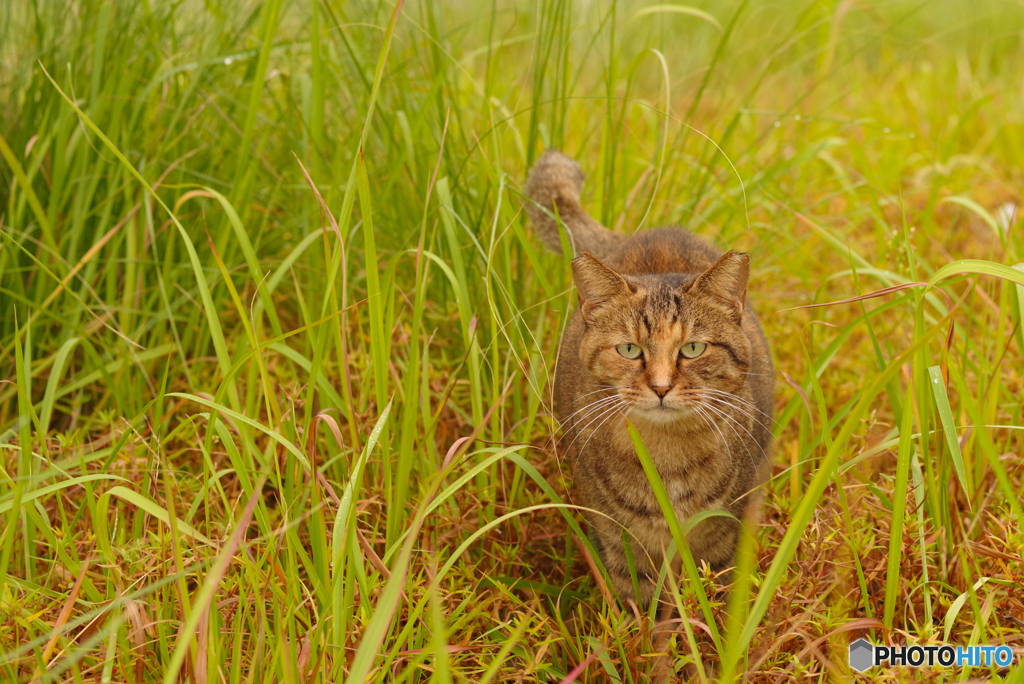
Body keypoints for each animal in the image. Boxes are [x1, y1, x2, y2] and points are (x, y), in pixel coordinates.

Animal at [524, 149, 770, 610]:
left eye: (692, 349)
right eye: (629, 350)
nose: (660, 387)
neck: (666, 455)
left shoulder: (721, 540)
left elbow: (711, 604)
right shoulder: (620, 540)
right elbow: (639, 609)